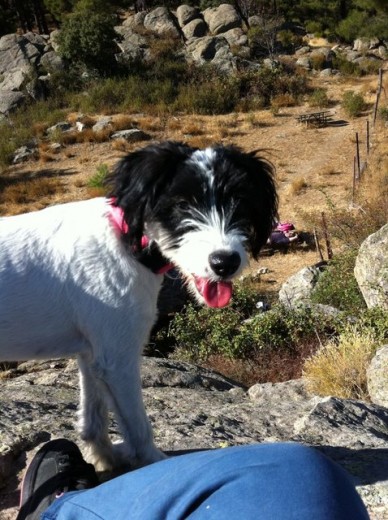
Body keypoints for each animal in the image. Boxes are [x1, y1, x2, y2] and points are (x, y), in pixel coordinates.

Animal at [0, 142, 278, 472]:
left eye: (240, 201)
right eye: (182, 205)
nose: (225, 262)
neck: (127, 241)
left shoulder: (93, 354)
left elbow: (94, 419)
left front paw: (105, 458)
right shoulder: (119, 360)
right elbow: (138, 426)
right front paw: (152, 462)